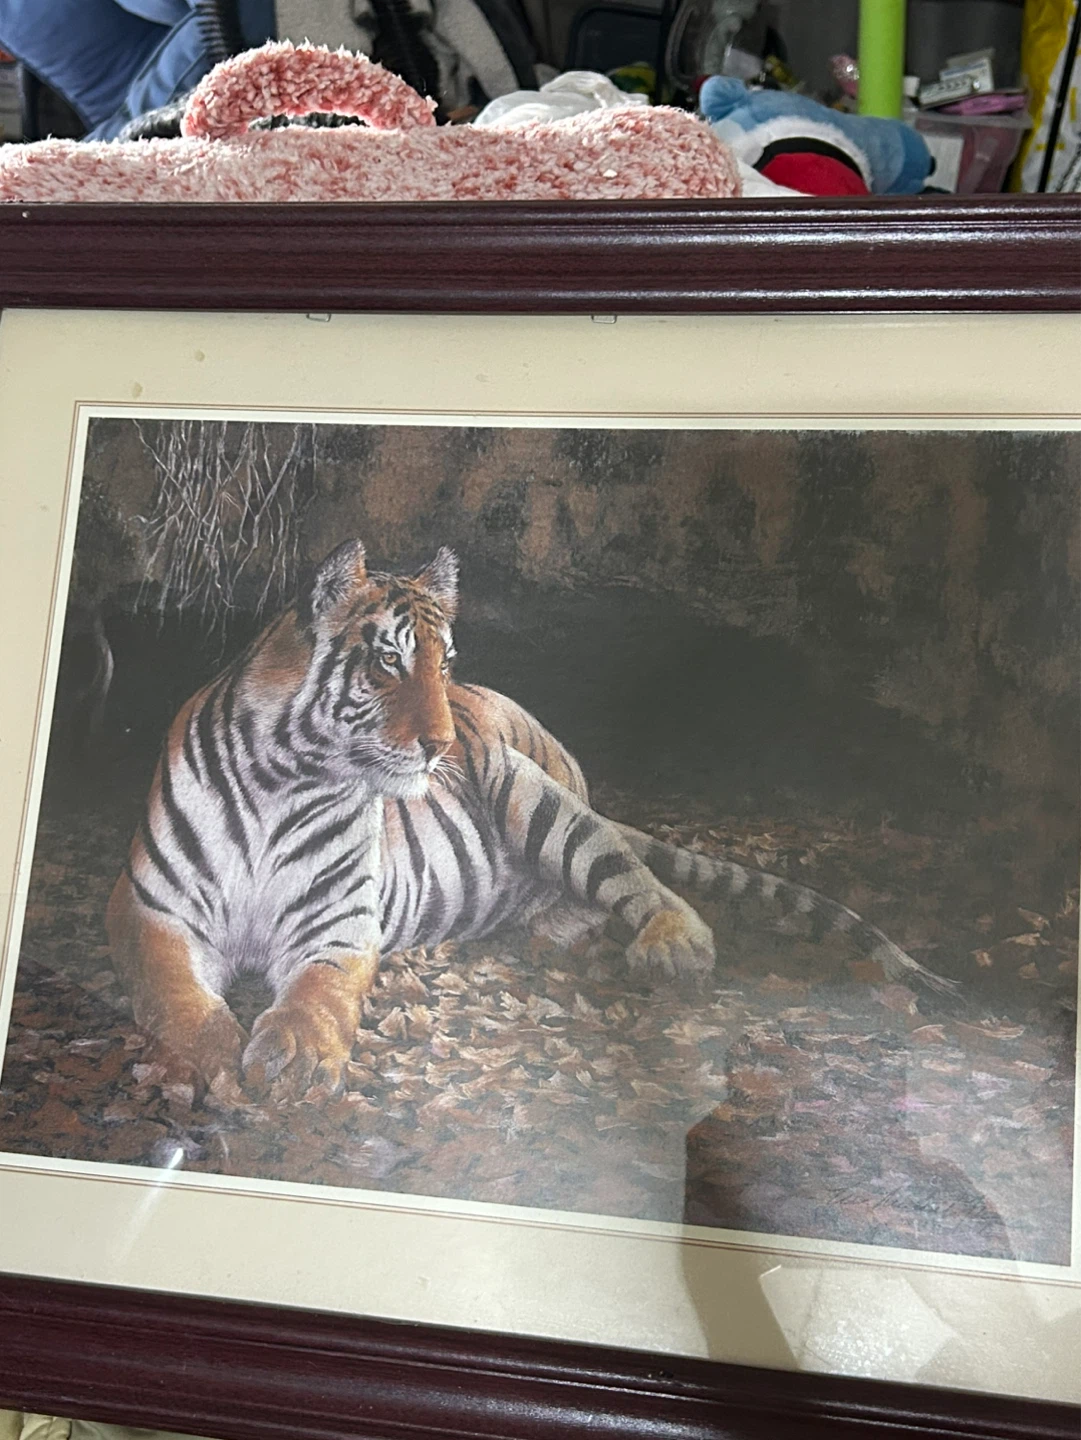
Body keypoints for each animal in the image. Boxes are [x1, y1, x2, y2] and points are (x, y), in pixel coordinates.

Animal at [107, 538, 952, 1103]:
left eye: (443, 662)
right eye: (388, 660)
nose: (439, 742)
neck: (286, 779)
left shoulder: (338, 926)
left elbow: (319, 995)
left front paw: (297, 1060)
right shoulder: (152, 910)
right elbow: (174, 995)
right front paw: (214, 1061)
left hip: (536, 796)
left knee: (636, 880)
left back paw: (672, 949)